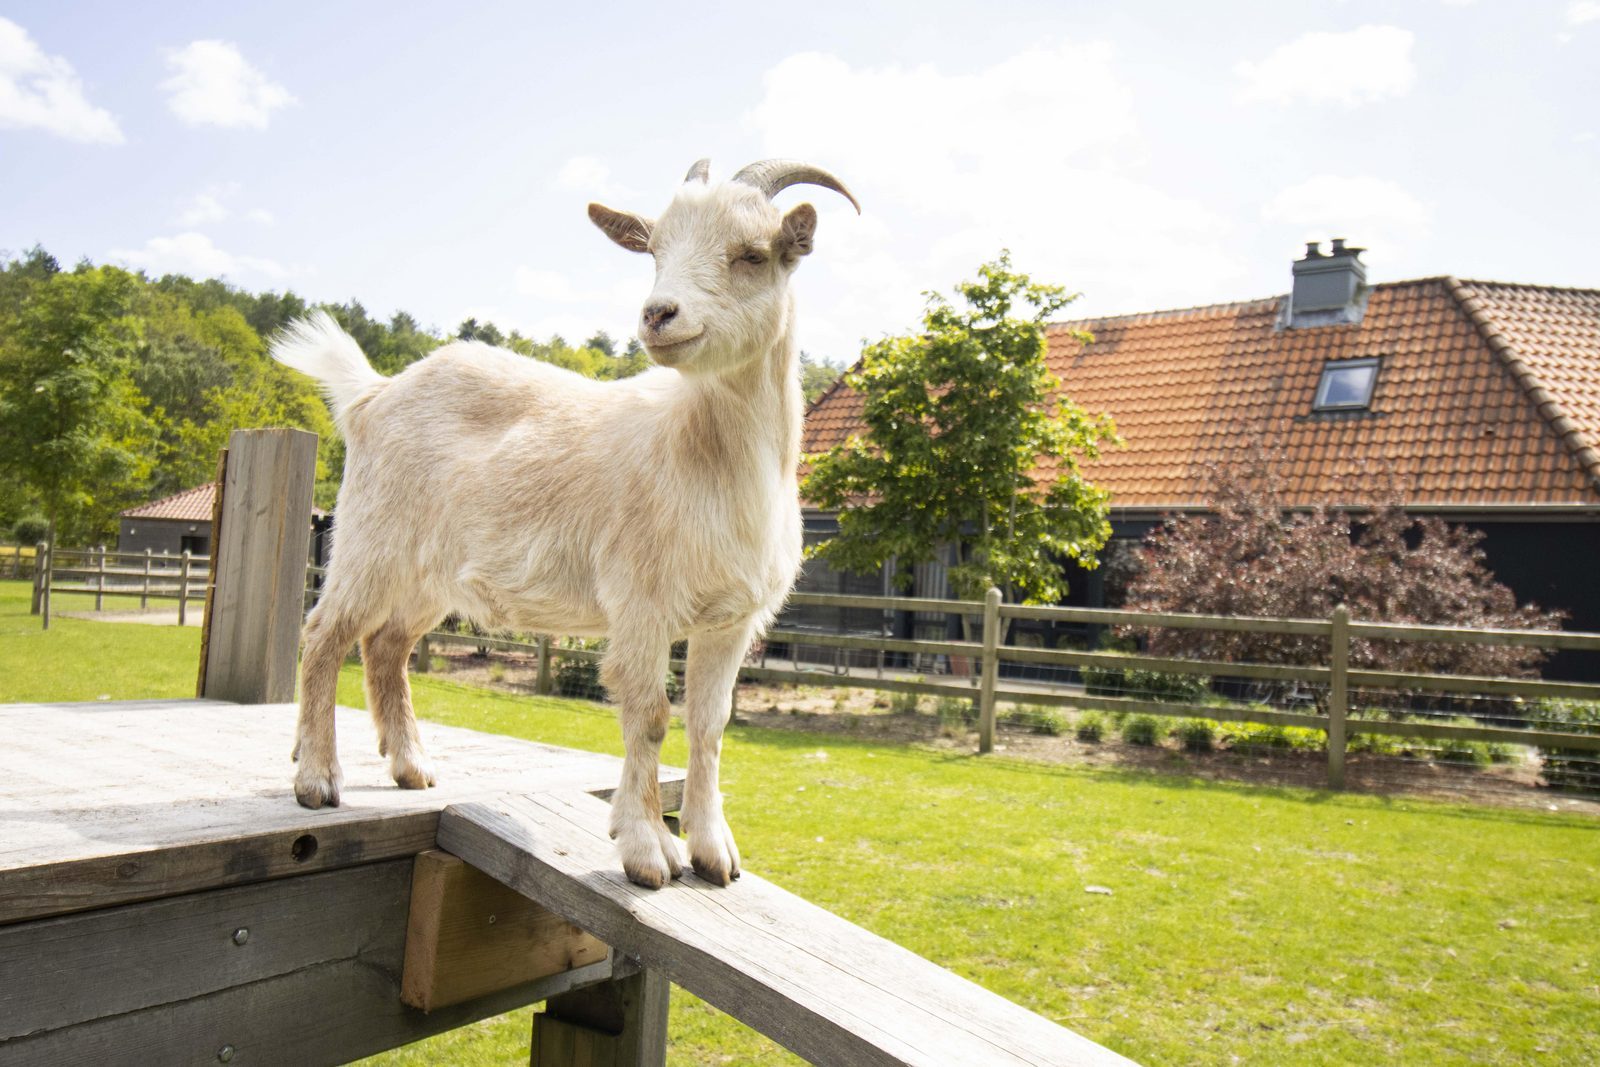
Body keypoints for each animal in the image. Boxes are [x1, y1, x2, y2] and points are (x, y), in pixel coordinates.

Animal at [268, 158, 857, 889]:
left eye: (753, 254)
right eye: (655, 251)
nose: (658, 314)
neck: (704, 457)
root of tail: (374, 394)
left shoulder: (730, 619)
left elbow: (709, 725)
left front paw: (712, 850)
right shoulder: (640, 602)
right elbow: (650, 715)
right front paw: (646, 850)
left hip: (430, 574)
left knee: (386, 644)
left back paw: (411, 766)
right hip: (371, 538)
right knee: (325, 633)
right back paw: (318, 778)